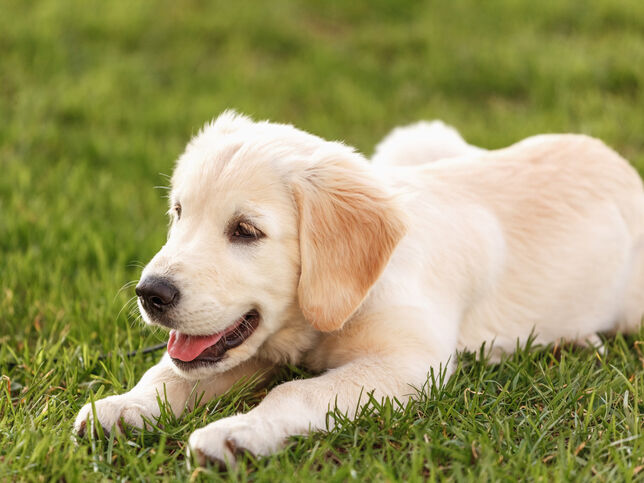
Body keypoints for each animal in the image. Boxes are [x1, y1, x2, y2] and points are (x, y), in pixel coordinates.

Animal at [73, 112, 640, 466]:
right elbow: (170, 373)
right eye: (178, 213)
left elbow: (294, 390)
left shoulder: (408, 365)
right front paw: (124, 407)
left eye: (245, 231)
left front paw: (235, 435)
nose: (150, 293)